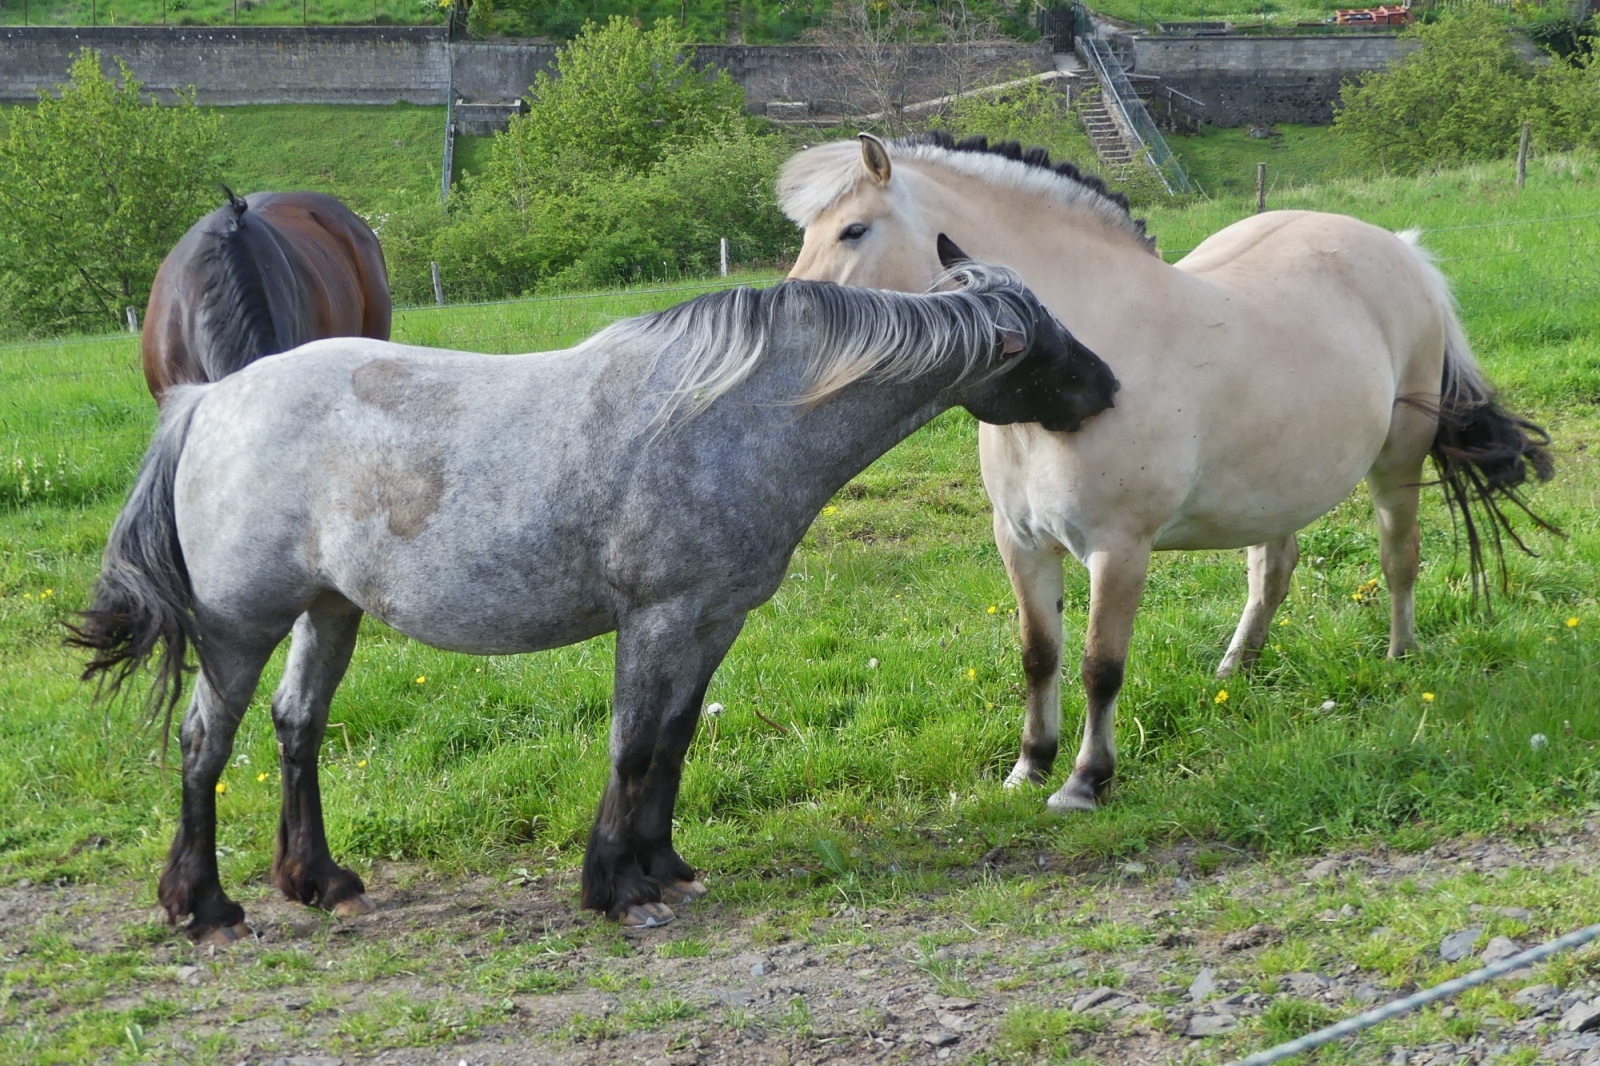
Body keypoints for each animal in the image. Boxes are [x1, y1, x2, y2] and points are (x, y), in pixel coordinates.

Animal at [72, 257, 1113, 941]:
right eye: (1042, 342)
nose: (1107, 387)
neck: (735, 417)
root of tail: (210, 401)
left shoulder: (712, 622)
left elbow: (676, 742)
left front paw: (664, 867)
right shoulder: (656, 620)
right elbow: (634, 744)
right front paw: (616, 887)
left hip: (330, 610)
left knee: (298, 726)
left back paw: (319, 880)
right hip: (237, 628)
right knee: (204, 746)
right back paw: (206, 907)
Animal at [780, 132, 1555, 813]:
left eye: (852, 230)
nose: (802, 334)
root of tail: (1403, 248)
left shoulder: (1119, 549)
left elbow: (1100, 665)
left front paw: (1085, 782)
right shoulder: (1022, 543)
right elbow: (1039, 654)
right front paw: (1029, 767)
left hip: (1397, 464)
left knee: (1400, 559)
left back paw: (1400, 658)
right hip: (1275, 490)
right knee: (1272, 572)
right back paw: (1235, 669)